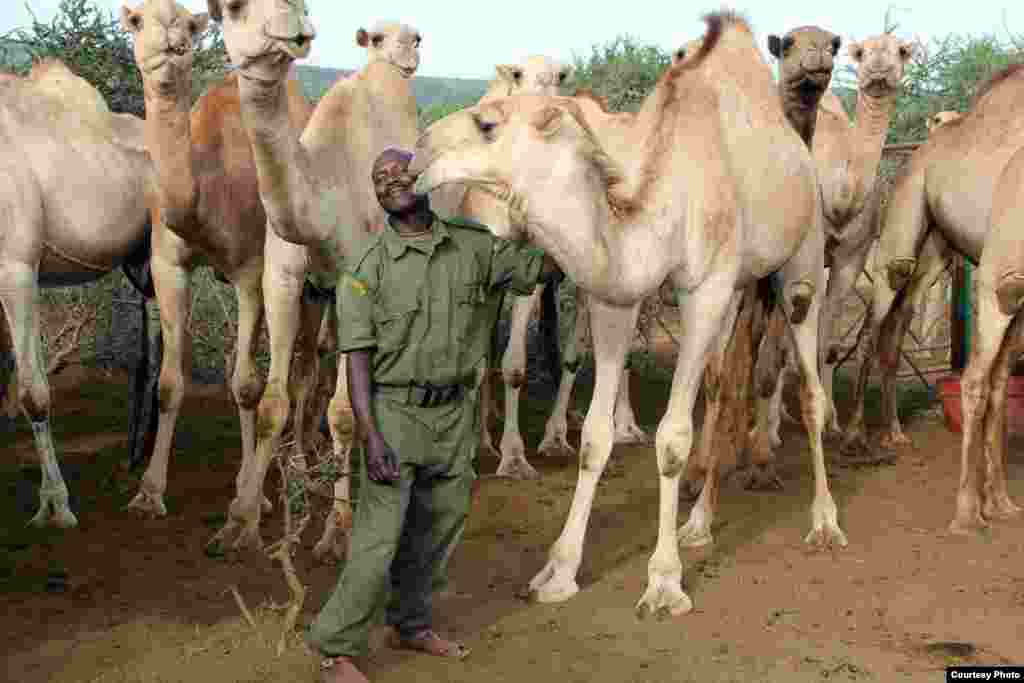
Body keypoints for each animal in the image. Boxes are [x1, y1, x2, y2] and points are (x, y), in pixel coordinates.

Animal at [203, 2, 419, 557]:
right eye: (231, 9)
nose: (294, 27)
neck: (319, 201)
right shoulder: (284, 278)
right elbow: (272, 401)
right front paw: (240, 521)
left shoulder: (354, 284)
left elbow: (344, 411)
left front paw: (338, 531)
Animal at [407, 10, 847, 610]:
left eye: (487, 123)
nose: (417, 150)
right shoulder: (618, 295)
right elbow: (595, 438)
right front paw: (559, 570)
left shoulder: (704, 291)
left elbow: (672, 438)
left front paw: (663, 581)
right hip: (740, 286)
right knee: (723, 384)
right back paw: (699, 523)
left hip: (802, 259)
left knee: (807, 382)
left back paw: (824, 521)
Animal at [843, 65, 1024, 464]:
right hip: (899, 232)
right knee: (873, 326)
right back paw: (854, 434)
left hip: (935, 253)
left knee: (897, 329)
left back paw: (894, 434)